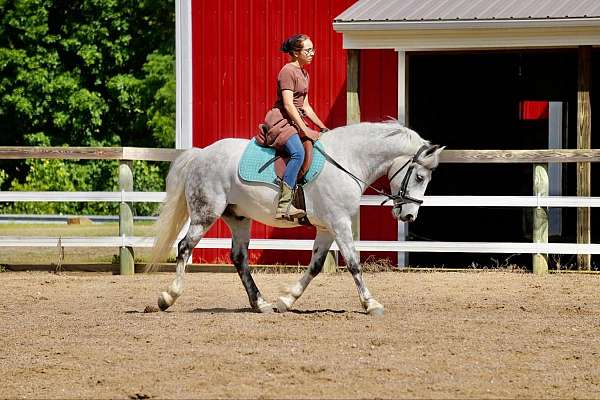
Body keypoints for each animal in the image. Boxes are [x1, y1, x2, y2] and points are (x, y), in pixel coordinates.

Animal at [148, 122, 442, 316]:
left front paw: (287, 300)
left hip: (239, 217)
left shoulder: (327, 228)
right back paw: (167, 297)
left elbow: (315, 266)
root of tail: (201, 154)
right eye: (419, 177)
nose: (409, 215)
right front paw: (371, 304)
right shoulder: (339, 223)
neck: (348, 160)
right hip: (206, 213)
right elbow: (354, 264)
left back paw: (261, 303)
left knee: (239, 258)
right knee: (184, 247)